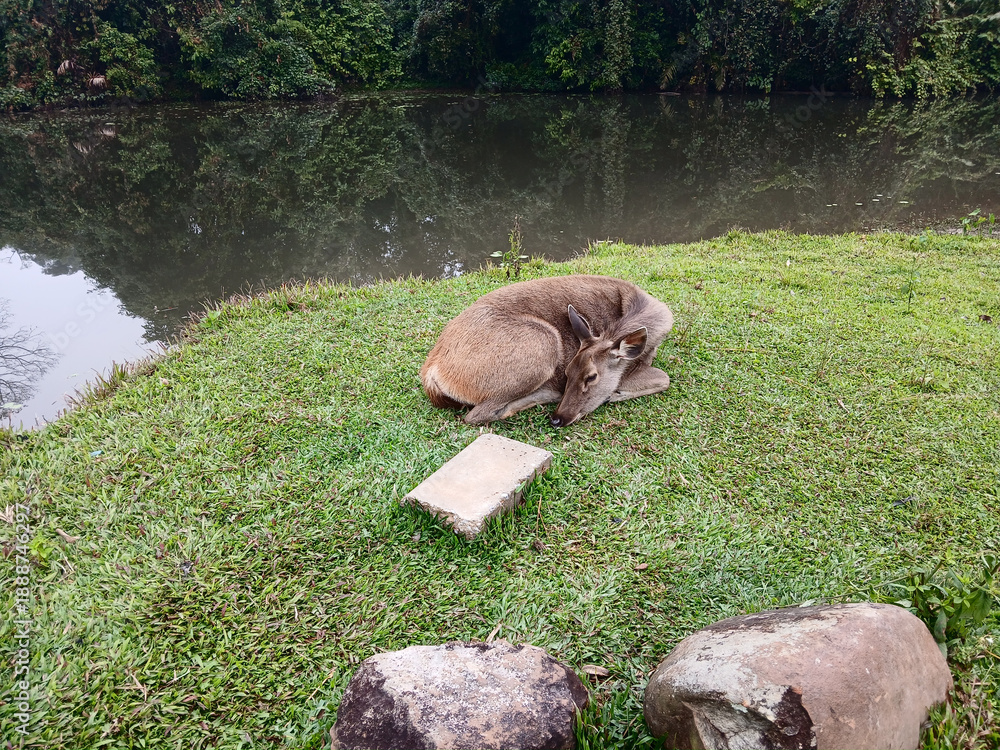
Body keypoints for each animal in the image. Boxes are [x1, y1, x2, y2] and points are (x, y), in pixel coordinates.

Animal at [420, 275, 674, 427]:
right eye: (567, 372)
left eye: (591, 376)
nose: (558, 419)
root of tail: (431, 371)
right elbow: (664, 377)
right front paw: (616, 393)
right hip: (544, 342)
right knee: (478, 414)